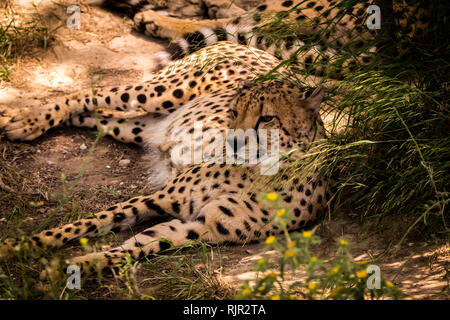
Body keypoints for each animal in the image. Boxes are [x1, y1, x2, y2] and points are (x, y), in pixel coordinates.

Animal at [0, 41, 326, 274]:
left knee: (95, 115)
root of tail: (252, 48)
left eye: (267, 118)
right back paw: (25, 122)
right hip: (160, 92)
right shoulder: (161, 197)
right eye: (234, 112)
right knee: (89, 94)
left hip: (139, 127)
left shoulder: (200, 227)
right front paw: (22, 245)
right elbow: (87, 222)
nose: (232, 142)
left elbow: (136, 247)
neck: (258, 172)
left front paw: (81, 265)